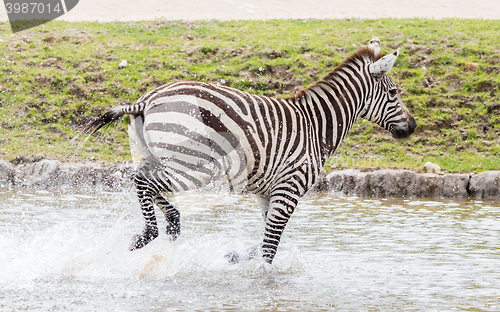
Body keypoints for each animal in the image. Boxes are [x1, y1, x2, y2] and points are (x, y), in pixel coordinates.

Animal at [84, 37, 416, 264]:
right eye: (393, 93)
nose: (412, 127)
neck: (315, 126)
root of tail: (146, 100)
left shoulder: (268, 192)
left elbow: (264, 239)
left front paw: (237, 257)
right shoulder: (290, 188)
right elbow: (270, 246)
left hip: (160, 157)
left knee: (139, 179)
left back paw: (173, 223)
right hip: (195, 166)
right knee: (145, 182)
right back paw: (148, 234)